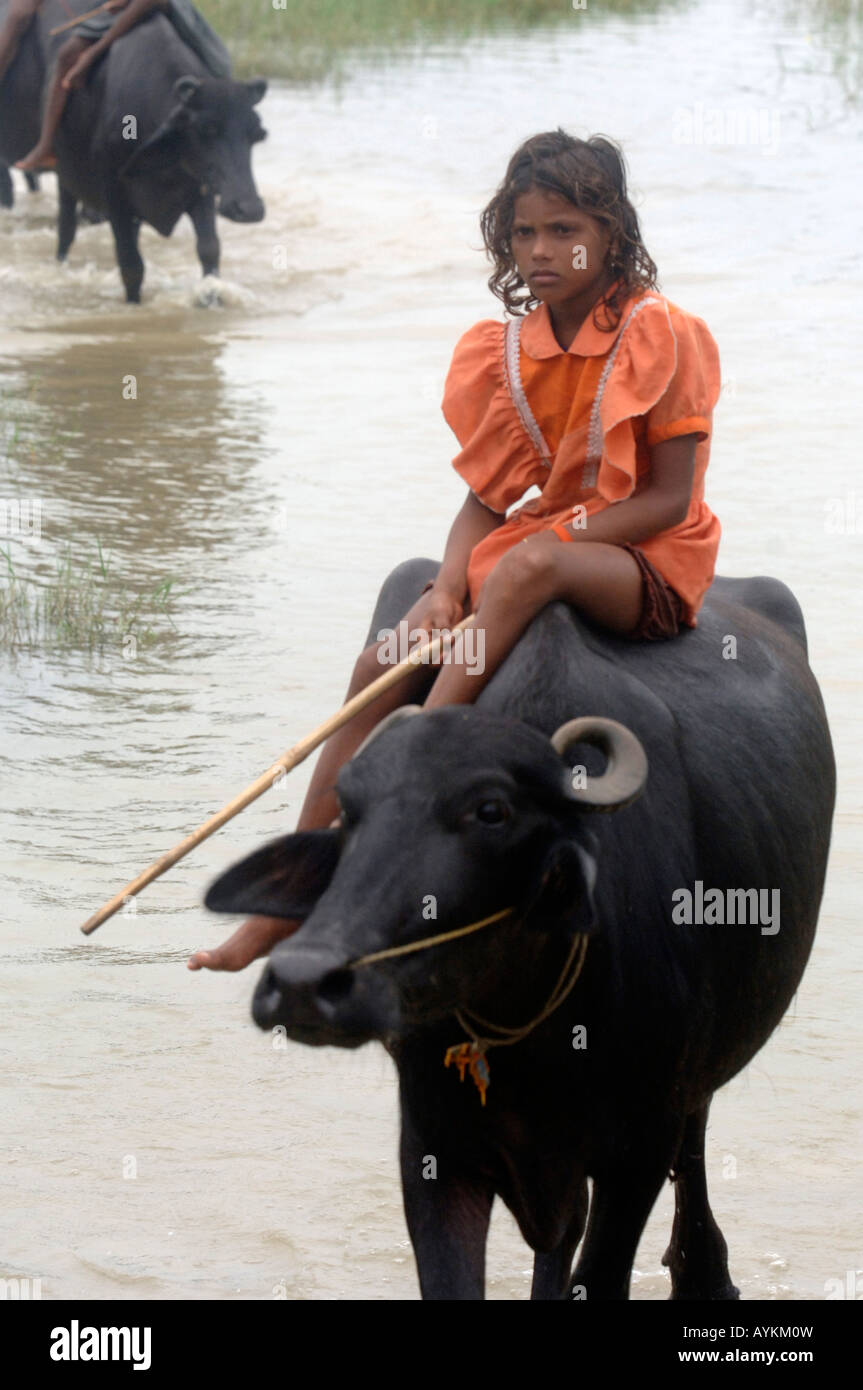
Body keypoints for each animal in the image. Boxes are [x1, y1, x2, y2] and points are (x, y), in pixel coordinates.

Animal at [0, 1, 262, 300]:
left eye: (255, 135)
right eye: (206, 130)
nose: (249, 208)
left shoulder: (202, 190)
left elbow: (209, 250)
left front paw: (210, 296)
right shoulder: (115, 197)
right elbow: (131, 267)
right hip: (67, 177)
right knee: (64, 228)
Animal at [205, 558, 833, 1295]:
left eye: (491, 811)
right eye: (350, 810)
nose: (304, 982)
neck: (528, 1011)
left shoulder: (638, 1147)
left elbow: (602, 1269)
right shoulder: (433, 1147)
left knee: (694, 1144)